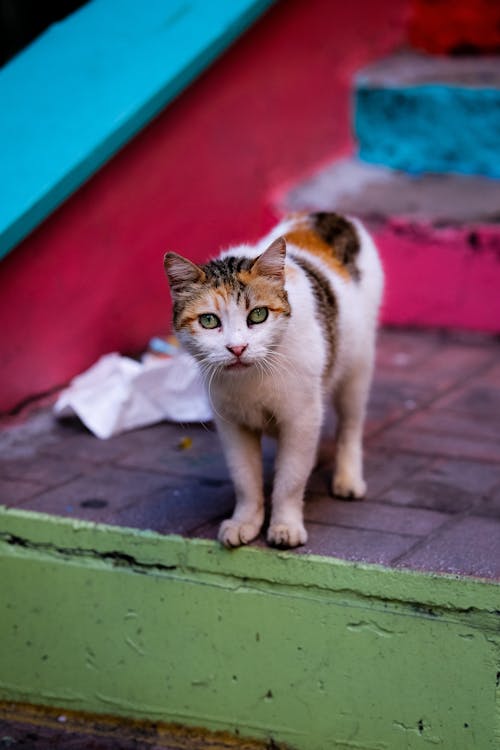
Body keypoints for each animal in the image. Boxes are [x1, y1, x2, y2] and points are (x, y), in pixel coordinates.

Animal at [164, 214, 382, 548]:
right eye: (209, 321)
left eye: (258, 315)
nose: (237, 348)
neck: (252, 378)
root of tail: (331, 216)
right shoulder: (232, 424)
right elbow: (245, 478)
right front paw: (245, 522)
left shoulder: (301, 417)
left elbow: (290, 479)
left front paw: (285, 526)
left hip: (356, 368)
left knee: (350, 426)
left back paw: (347, 479)